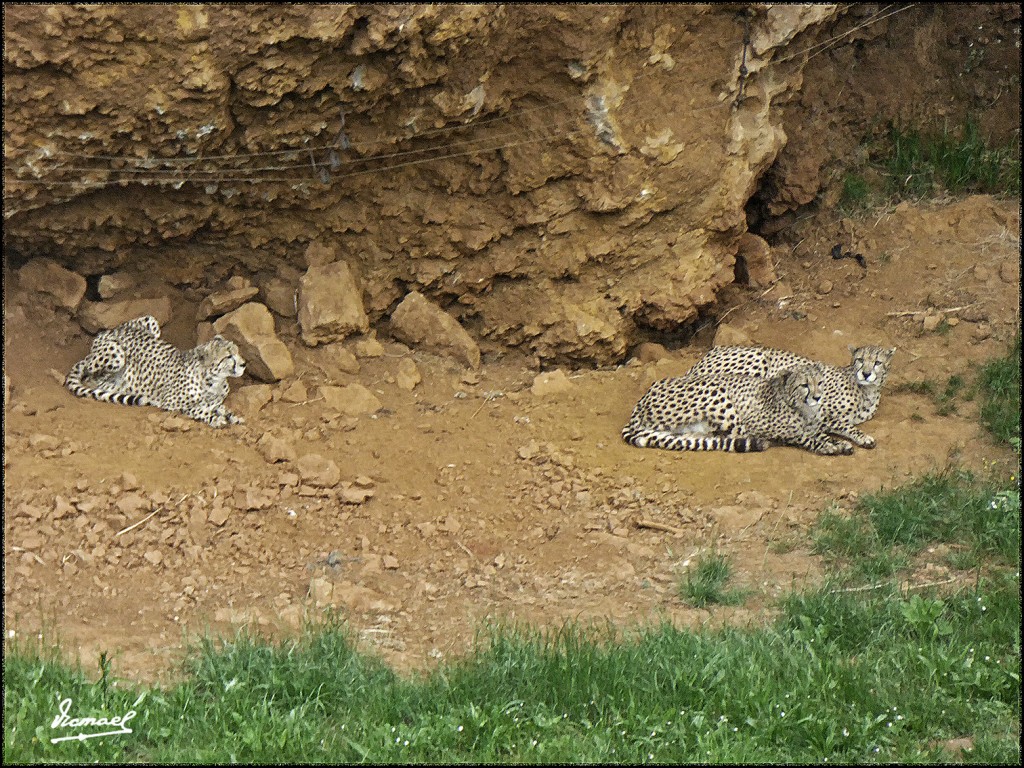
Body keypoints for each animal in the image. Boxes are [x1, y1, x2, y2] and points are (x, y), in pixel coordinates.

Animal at [65, 315, 245, 430]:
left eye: (237, 351)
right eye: (229, 356)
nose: (243, 364)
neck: (214, 381)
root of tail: (108, 331)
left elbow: (220, 407)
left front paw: (232, 416)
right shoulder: (171, 403)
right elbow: (196, 409)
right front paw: (216, 418)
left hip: (150, 321)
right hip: (116, 354)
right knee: (91, 376)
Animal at [618, 362, 851, 454]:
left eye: (819, 383)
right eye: (804, 385)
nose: (818, 397)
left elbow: (819, 433)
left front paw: (838, 443)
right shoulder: (759, 425)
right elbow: (801, 435)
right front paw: (829, 447)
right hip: (716, 391)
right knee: (734, 434)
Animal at [679, 344, 897, 448]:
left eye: (877, 362)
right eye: (860, 360)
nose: (866, 373)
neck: (866, 390)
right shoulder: (821, 412)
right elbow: (846, 425)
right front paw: (864, 438)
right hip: (757, 360)